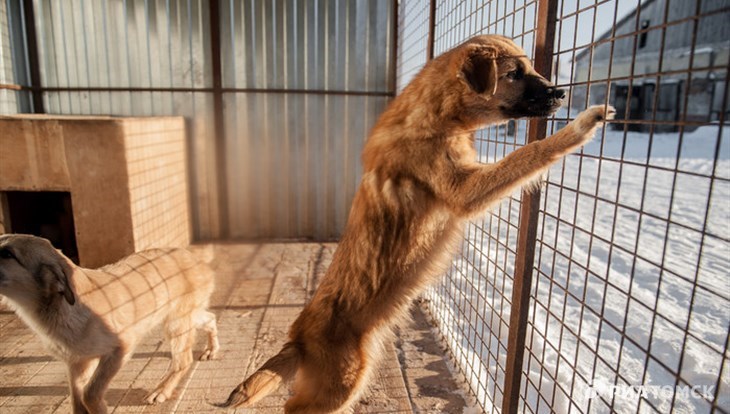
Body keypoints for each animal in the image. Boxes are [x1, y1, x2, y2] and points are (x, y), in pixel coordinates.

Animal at [0, 234, 218, 412]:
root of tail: (192, 256)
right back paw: (211, 349)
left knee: (184, 360)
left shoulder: (121, 348)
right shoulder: (77, 362)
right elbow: (77, 400)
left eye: (7, 253)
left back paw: (162, 390)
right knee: (211, 318)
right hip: (187, 317)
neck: (61, 307)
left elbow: (90, 393)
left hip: (176, 323)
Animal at [219, 34, 612, 412]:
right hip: (340, 384)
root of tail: (298, 338)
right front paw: (582, 126)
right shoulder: (466, 190)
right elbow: (525, 156)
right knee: (293, 407)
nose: (561, 93)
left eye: (530, 68)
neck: (438, 114)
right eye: (514, 74)